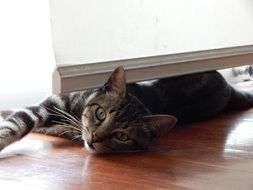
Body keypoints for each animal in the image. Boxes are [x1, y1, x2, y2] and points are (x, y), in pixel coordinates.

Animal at [0, 66, 252, 154]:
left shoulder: (56, 121)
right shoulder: (46, 108)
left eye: (121, 136)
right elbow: (15, 121)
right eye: (100, 114)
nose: (94, 138)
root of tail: (229, 89)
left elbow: (17, 121)